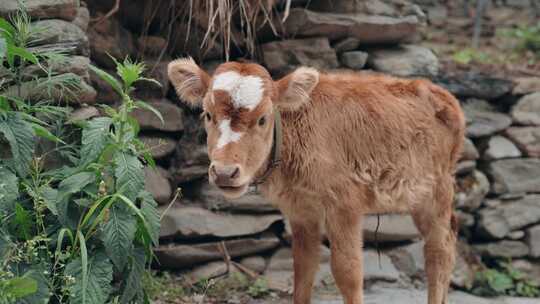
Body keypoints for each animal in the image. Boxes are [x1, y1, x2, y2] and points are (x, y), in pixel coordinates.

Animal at [168, 57, 464, 304]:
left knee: (439, 252)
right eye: (208, 115)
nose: (224, 172)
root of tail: (441, 94)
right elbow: (303, 269)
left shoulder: (345, 205)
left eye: (263, 119)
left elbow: (348, 272)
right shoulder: (301, 210)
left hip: (437, 191)